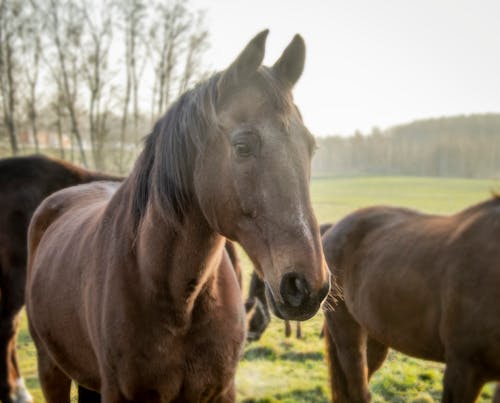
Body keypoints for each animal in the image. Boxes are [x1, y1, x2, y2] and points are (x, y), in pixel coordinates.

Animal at [25, 31, 330, 403]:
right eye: (243, 146)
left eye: (310, 148)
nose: (308, 285)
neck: (175, 297)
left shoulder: (221, 391)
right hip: (51, 368)